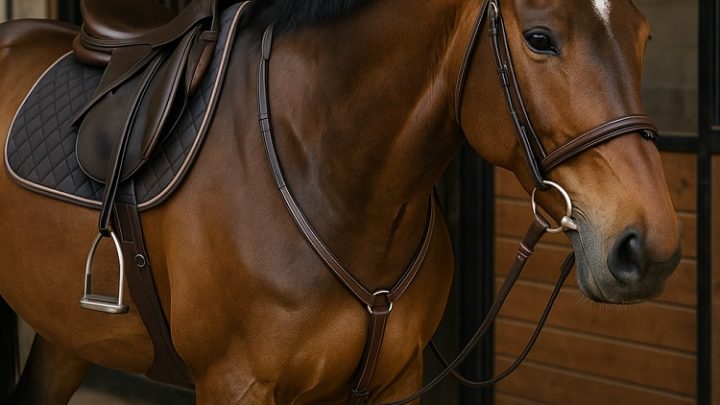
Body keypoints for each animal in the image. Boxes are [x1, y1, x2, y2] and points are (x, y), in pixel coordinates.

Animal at [0, 0, 682, 403]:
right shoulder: (234, 384)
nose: (648, 247)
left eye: (645, 34)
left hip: (65, 335)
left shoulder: (397, 381)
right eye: (540, 38)